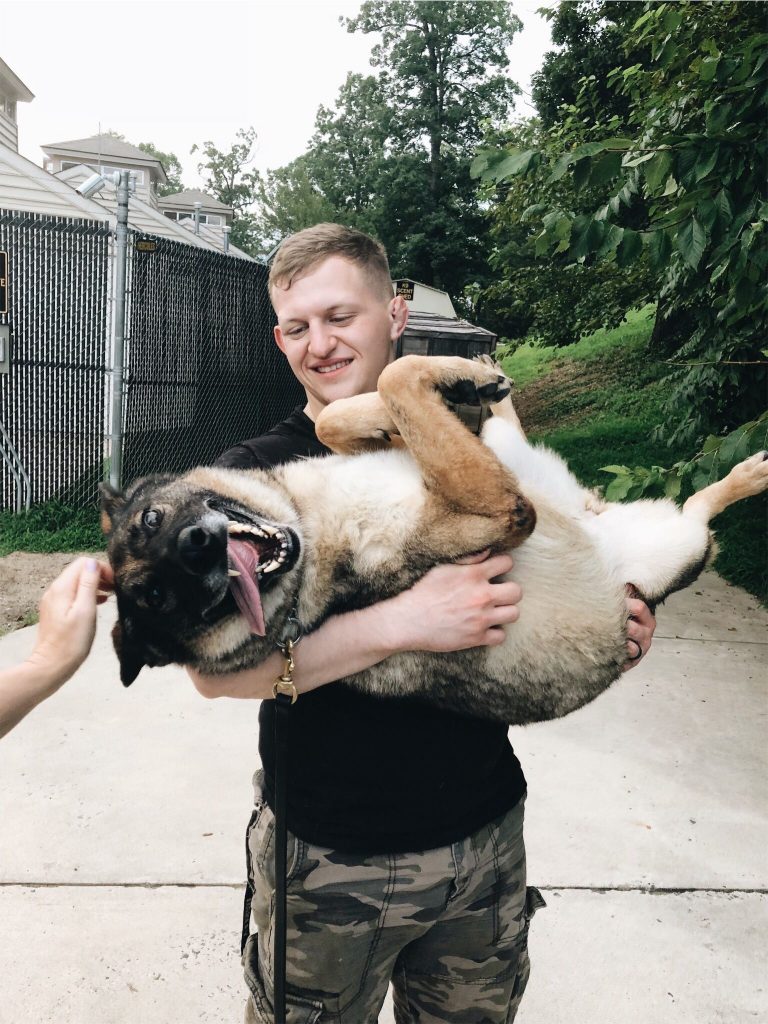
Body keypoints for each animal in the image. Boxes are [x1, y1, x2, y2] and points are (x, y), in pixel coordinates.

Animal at [101, 355, 768, 725]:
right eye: (163, 600)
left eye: (151, 521)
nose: (197, 548)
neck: (312, 526)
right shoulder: (500, 511)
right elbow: (396, 378)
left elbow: (344, 413)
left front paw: (433, 394)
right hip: (671, 547)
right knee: (702, 515)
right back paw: (752, 472)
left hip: (527, 464)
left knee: (502, 427)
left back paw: (486, 381)